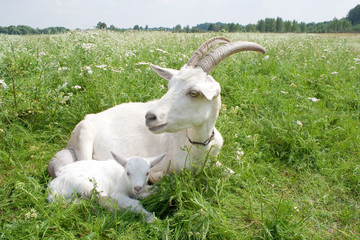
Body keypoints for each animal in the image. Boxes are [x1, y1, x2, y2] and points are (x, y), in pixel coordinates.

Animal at [47, 36, 266, 182]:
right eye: (170, 86)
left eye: (194, 92)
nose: (150, 117)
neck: (197, 145)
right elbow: (160, 176)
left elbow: (234, 174)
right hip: (84, 138)